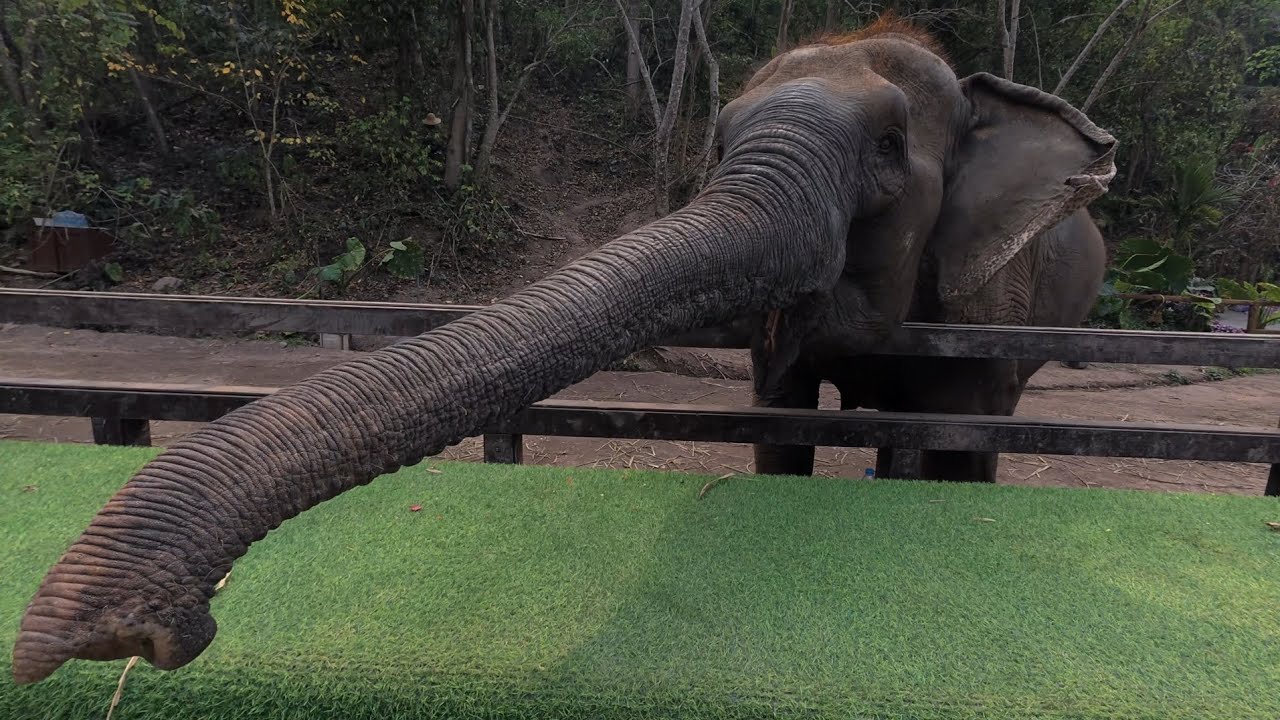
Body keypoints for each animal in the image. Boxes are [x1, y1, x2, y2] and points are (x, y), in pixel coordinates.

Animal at [11, 16, 1116, 684]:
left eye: (890, 149)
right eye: (719, 143)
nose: (140, 631)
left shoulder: (993, 289)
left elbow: (957, 416)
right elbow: (781, 420)